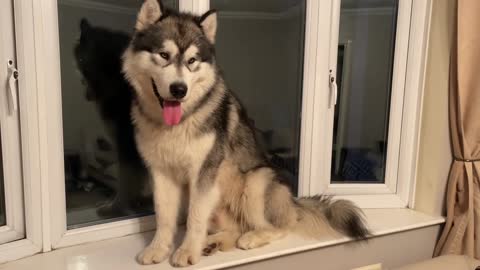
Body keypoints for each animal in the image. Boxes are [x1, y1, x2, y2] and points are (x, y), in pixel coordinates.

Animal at [122, 0, 370, 266]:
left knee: (279, 226)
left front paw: (187, 251)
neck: (177, 123)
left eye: (192, 60)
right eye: (164, 55)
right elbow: (164, 217)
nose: (179, 90)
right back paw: (213, 243)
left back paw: (250, 238)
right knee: (236, 227)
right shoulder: (161, 172)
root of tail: (293, 202)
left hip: (255, 181)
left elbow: (194, 219)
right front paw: (158, 248)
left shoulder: (204, 172)